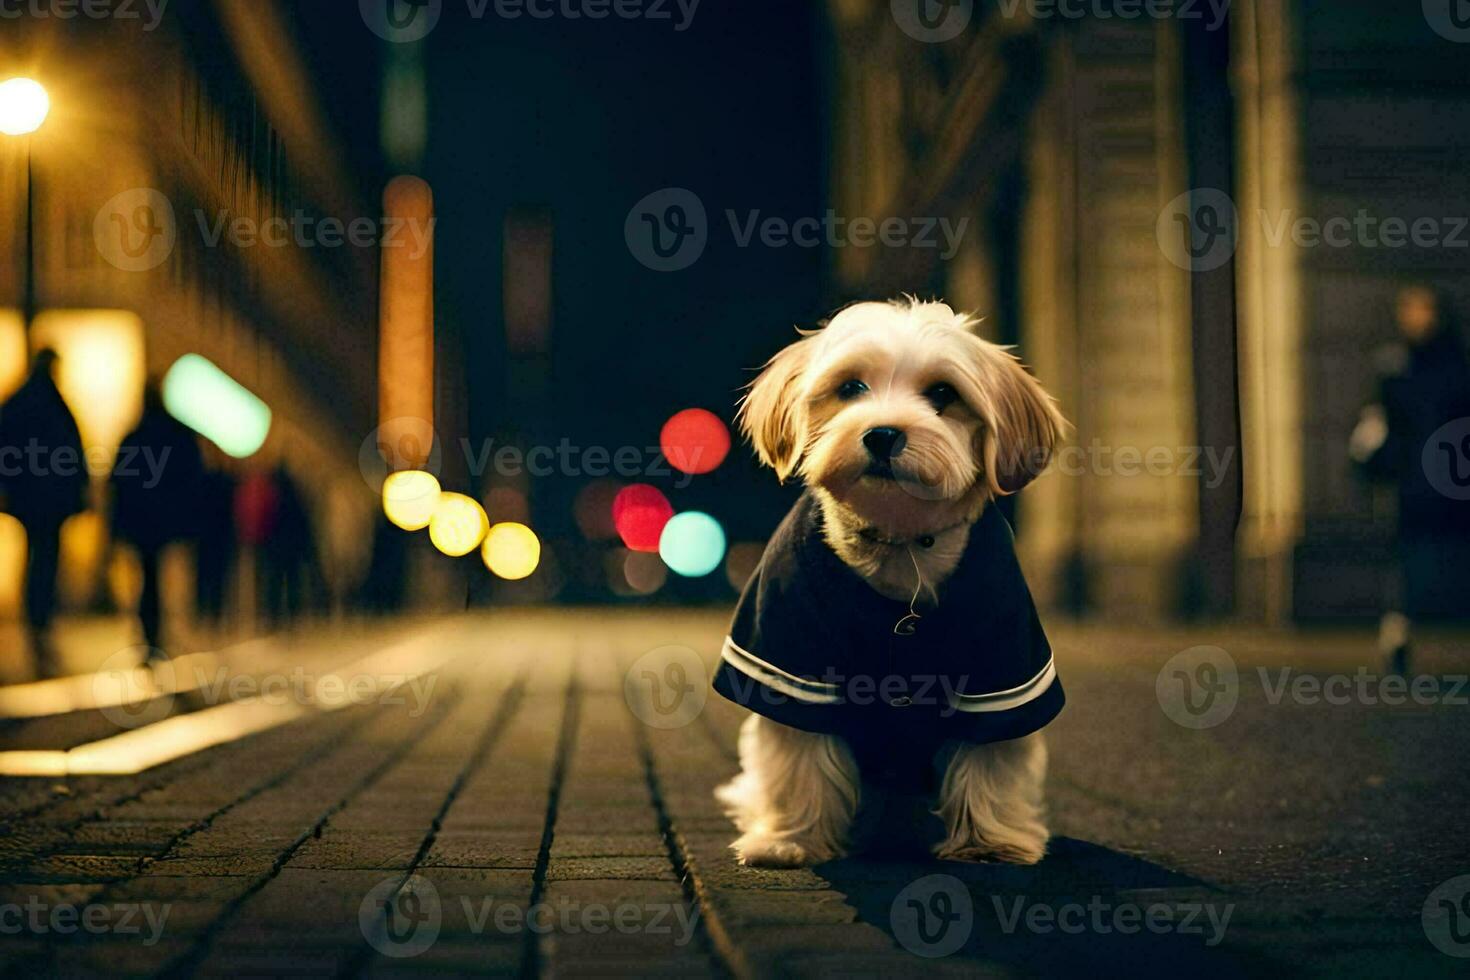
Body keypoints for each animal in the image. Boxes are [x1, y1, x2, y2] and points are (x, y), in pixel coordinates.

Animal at [708, 296, 1064, 863]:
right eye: (851, 387)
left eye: (943, 394)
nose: (882, 434)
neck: (901, 545)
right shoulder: (787, 657)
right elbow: (798, 760)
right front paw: (791, 839)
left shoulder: (1004, 669)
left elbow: (989, 762)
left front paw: (990, 842)